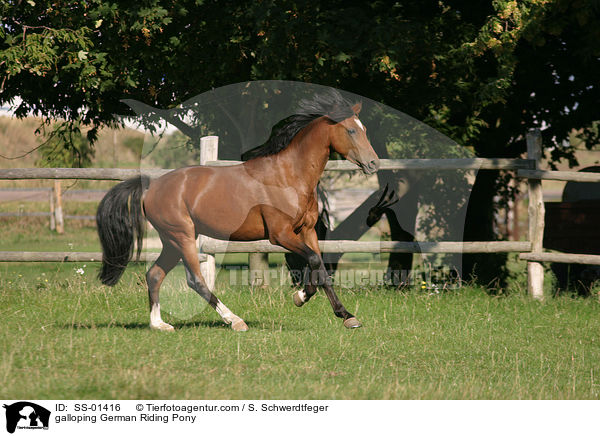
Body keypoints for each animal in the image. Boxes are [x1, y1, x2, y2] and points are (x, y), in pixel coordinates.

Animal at [98, 92, 380, 330]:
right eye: (351, 130)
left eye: (365, 129)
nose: (373, 163)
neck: (290, 176)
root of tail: (152, 186)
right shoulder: (280, 235)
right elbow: (312, 260)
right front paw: (300, 297)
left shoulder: (308, 231)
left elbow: (320, 267)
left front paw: (347, 316)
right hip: (182, 236)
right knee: (195, 280)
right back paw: (234, 320)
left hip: (171, 241)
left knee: (155, 274)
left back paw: (159, 325)